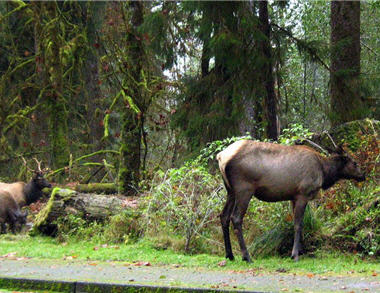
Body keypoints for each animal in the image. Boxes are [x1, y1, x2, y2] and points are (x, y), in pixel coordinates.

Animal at [217, 139, 366, 260]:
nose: (363, 175)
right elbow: (298, 224)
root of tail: (220, 156)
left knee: (224, 216)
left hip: (230, 190)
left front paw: (301, 251)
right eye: (354, 163)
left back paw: (229, 255)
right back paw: (246, 256)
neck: (324, 173)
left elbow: (299, 223)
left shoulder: (293, 196)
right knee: (236, 217)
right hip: (244, 188)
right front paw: (295, 254)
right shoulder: (303, 194)